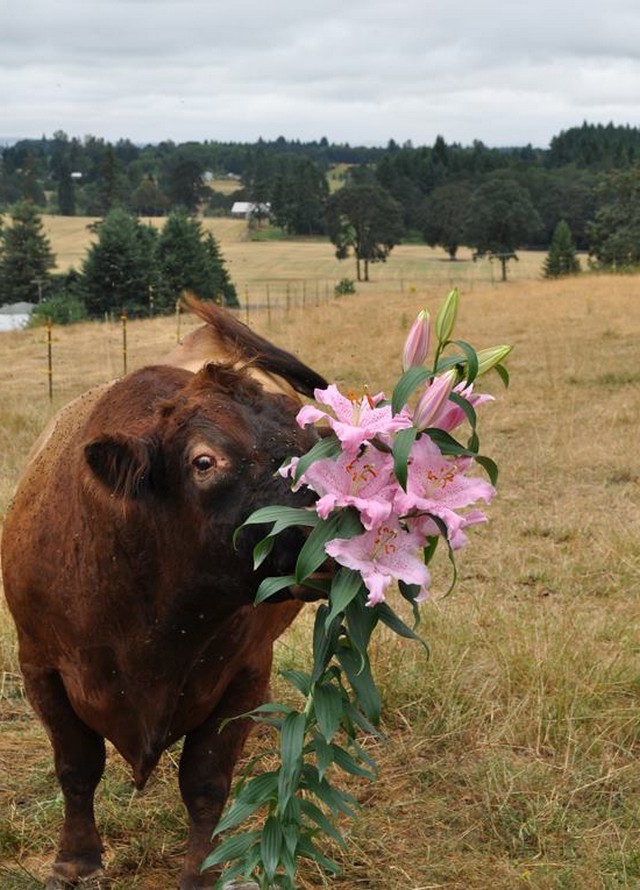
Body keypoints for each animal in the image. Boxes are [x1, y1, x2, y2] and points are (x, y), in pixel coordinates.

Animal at [1, 300, 324, 888]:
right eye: (204, 461)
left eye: (315, 446)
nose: (338, 528)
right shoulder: (39, 666)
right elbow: (76, 767)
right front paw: (76, 860)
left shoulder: (245, 674)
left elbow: (206, 784)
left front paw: (202, 872)